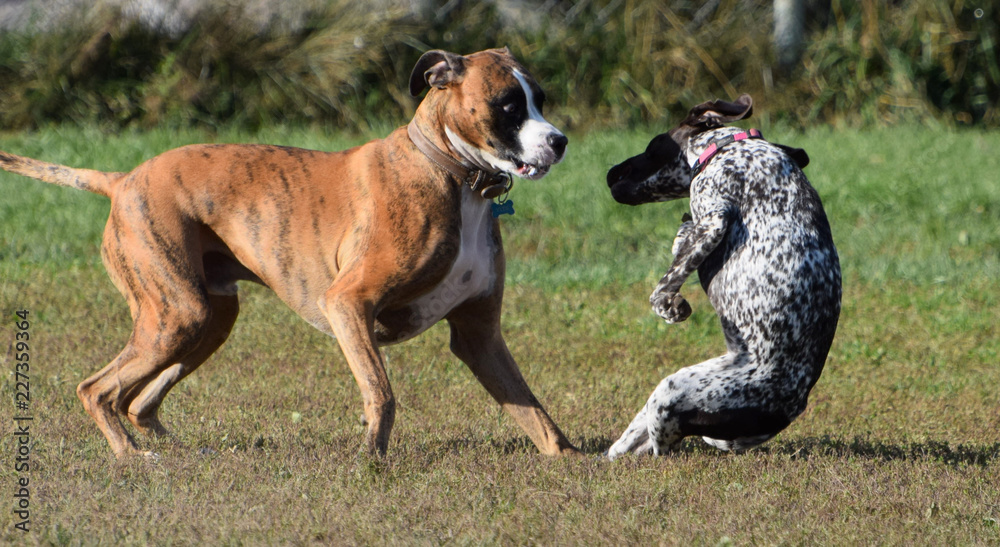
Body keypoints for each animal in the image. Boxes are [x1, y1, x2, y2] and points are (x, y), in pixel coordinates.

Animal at [0, 48, 580, 458]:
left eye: (541, 98)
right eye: (508, 104)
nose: (560, 141)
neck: (452, 173)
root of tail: (121, 181)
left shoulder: (480, 336)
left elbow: (536, 414)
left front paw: (573, 459)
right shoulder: (349, 304)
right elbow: (381, 392)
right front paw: (372, 463)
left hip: (206, 320)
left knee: (138, 400)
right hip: (177, 316)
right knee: (97, 390)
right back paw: (131, 458)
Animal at [604, 94, 840, 458]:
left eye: (652, 145)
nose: (609, 174)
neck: (730, 146)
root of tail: (790, 408)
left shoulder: (713, 219)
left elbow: (663, 286)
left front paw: (671, 307)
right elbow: (681, 240)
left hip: (671, 392)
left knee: (659, 447)